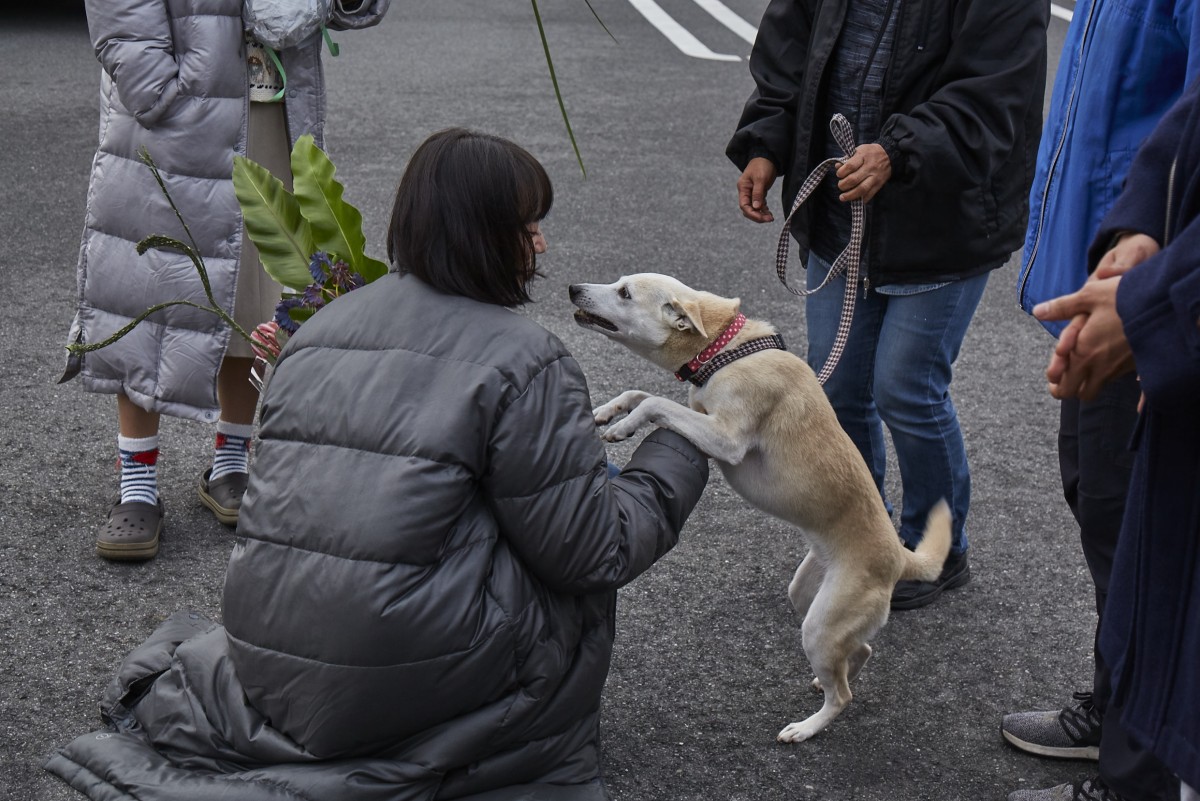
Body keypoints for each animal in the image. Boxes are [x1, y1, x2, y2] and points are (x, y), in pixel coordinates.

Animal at [566, 272, 950, 743]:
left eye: (624, 294)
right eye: (619, 283)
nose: (572, 289)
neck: (724, 350)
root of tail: (899, 557)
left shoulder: (726, 438)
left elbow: (656, 402)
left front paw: (624, 425)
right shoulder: (698, 411)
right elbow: (642, 392)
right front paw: (609, 412)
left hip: (820, 625)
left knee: (843, 695)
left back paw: (806, 728)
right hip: (809, 598)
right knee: (860, 651)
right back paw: (825, 681)